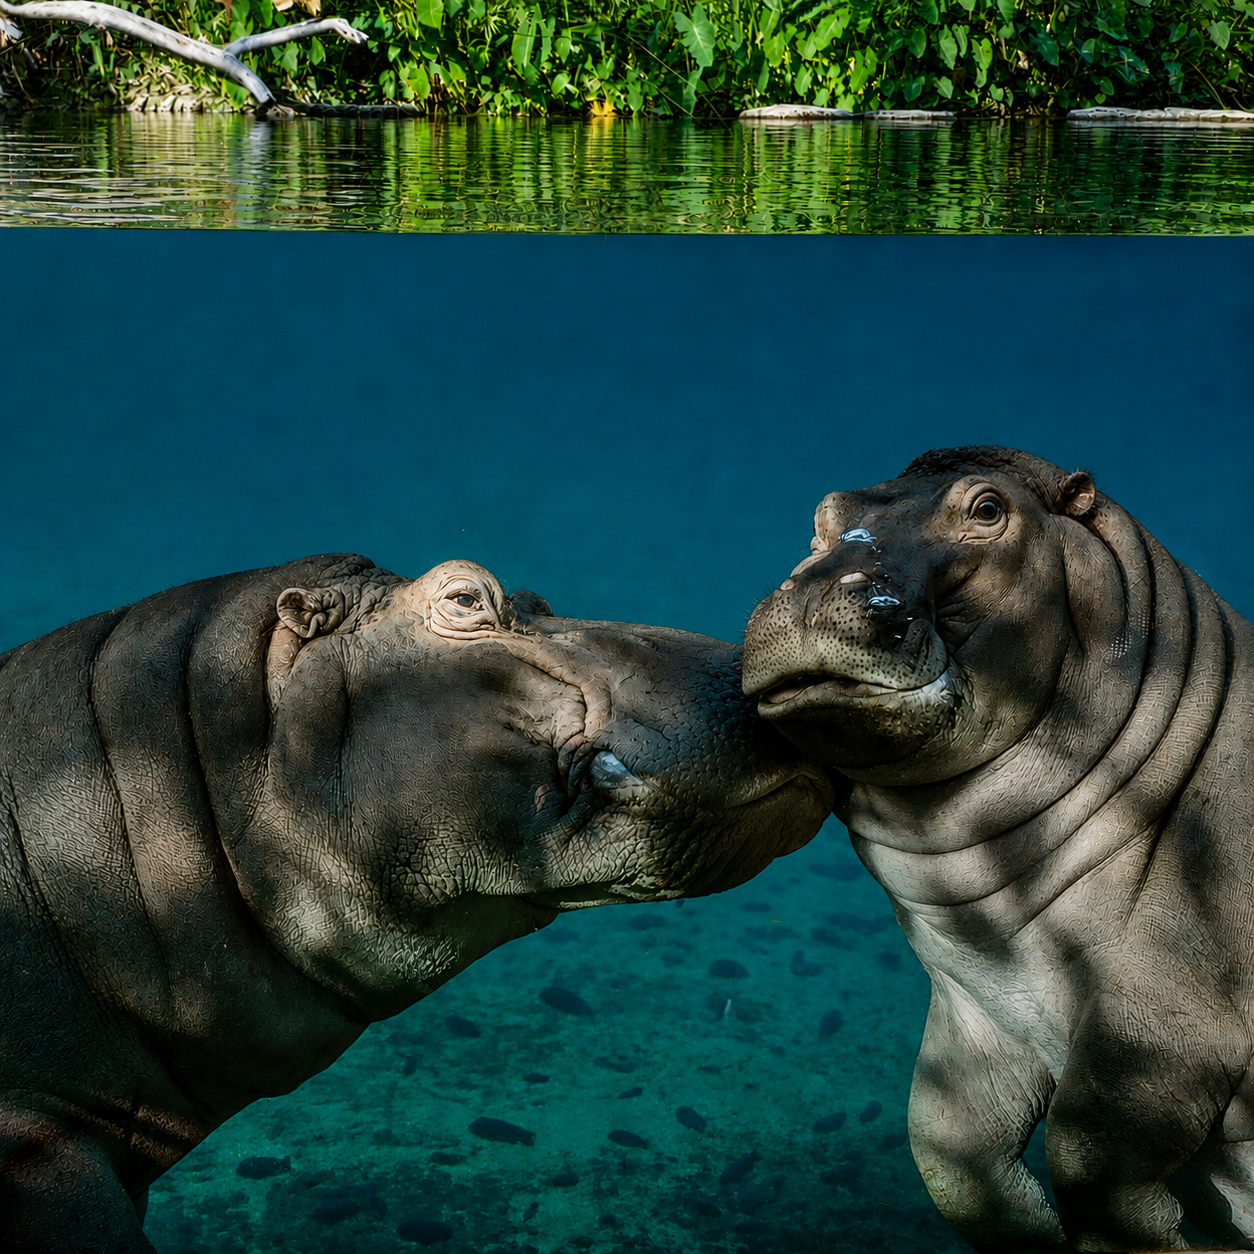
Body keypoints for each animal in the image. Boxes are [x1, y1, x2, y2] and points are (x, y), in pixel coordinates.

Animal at [742, 446, 1254, 1253]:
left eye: (988, 509)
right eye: (824, 512)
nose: (811, 593)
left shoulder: (1167, 1017)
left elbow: (1086, 1154)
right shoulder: (976, 1006)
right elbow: (947, 1154)